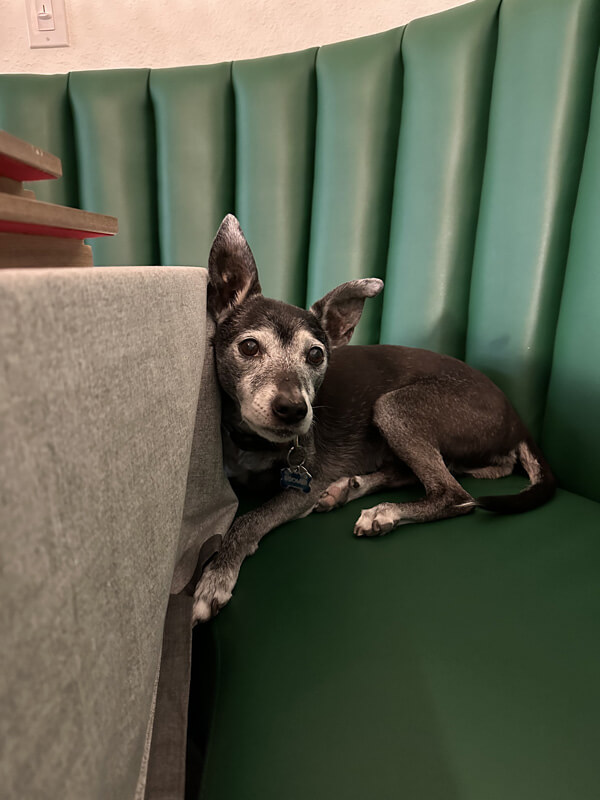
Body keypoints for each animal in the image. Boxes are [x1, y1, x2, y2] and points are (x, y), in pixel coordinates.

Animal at [191, 216, 552, 620]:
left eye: (316, 355)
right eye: (249, 347)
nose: (294, 410)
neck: (253, 444)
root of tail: (517, 419)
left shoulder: (303, 487)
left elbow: (247, 519)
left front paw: (216, 575)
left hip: (393, 406)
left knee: (455, 495)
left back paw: (385, 512)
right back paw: (349, 489)